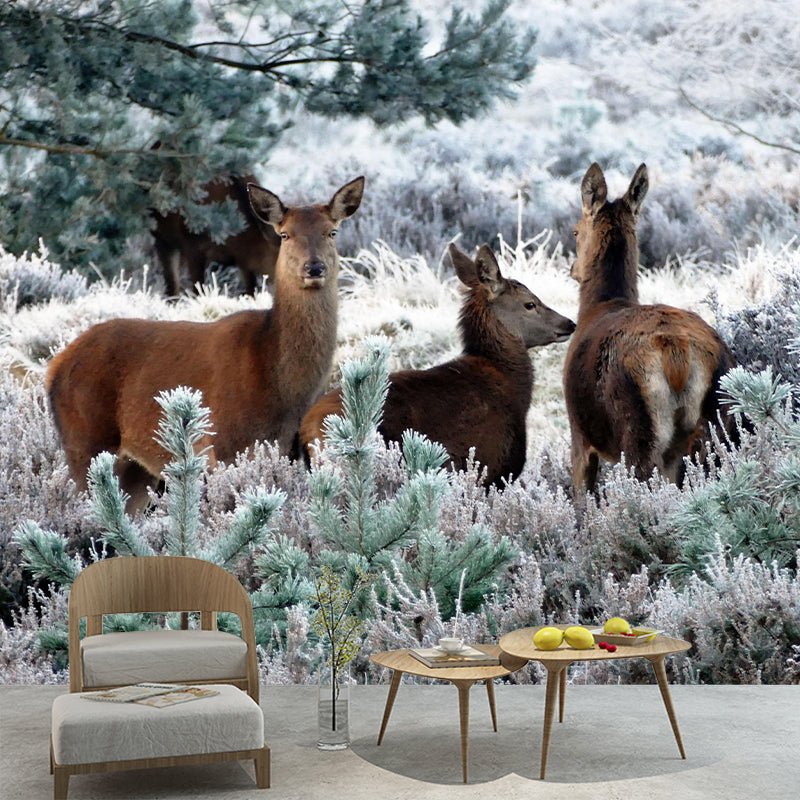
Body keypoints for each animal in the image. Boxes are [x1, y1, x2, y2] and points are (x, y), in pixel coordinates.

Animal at [151, 174, 282, 296]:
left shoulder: (243, 260)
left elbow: (251, 291)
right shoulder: (191, 244)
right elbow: (198, 290)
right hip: (163, 237)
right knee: (171, 282)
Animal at [563, 162, 736, 496]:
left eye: (575, 230)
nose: (573, 269)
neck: (598, 306)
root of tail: (677, 355)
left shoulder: (579, 434)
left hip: (638, 426)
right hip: (719, 421)